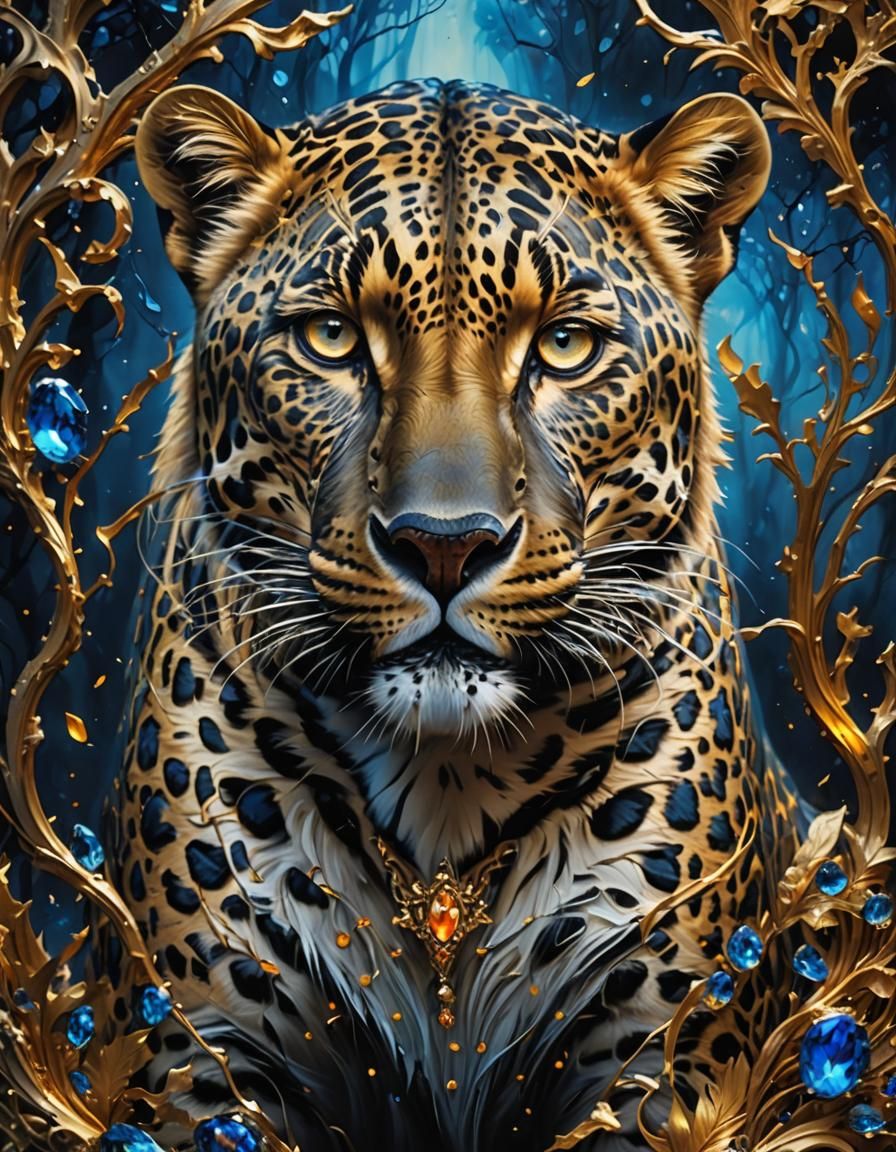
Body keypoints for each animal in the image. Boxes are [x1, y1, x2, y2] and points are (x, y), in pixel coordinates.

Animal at [118, 76, 780, 1151]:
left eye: (564, 346)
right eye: (331, 339)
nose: (443, 544)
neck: (444, 790)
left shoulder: (664, 1045)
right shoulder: (207, 1042)